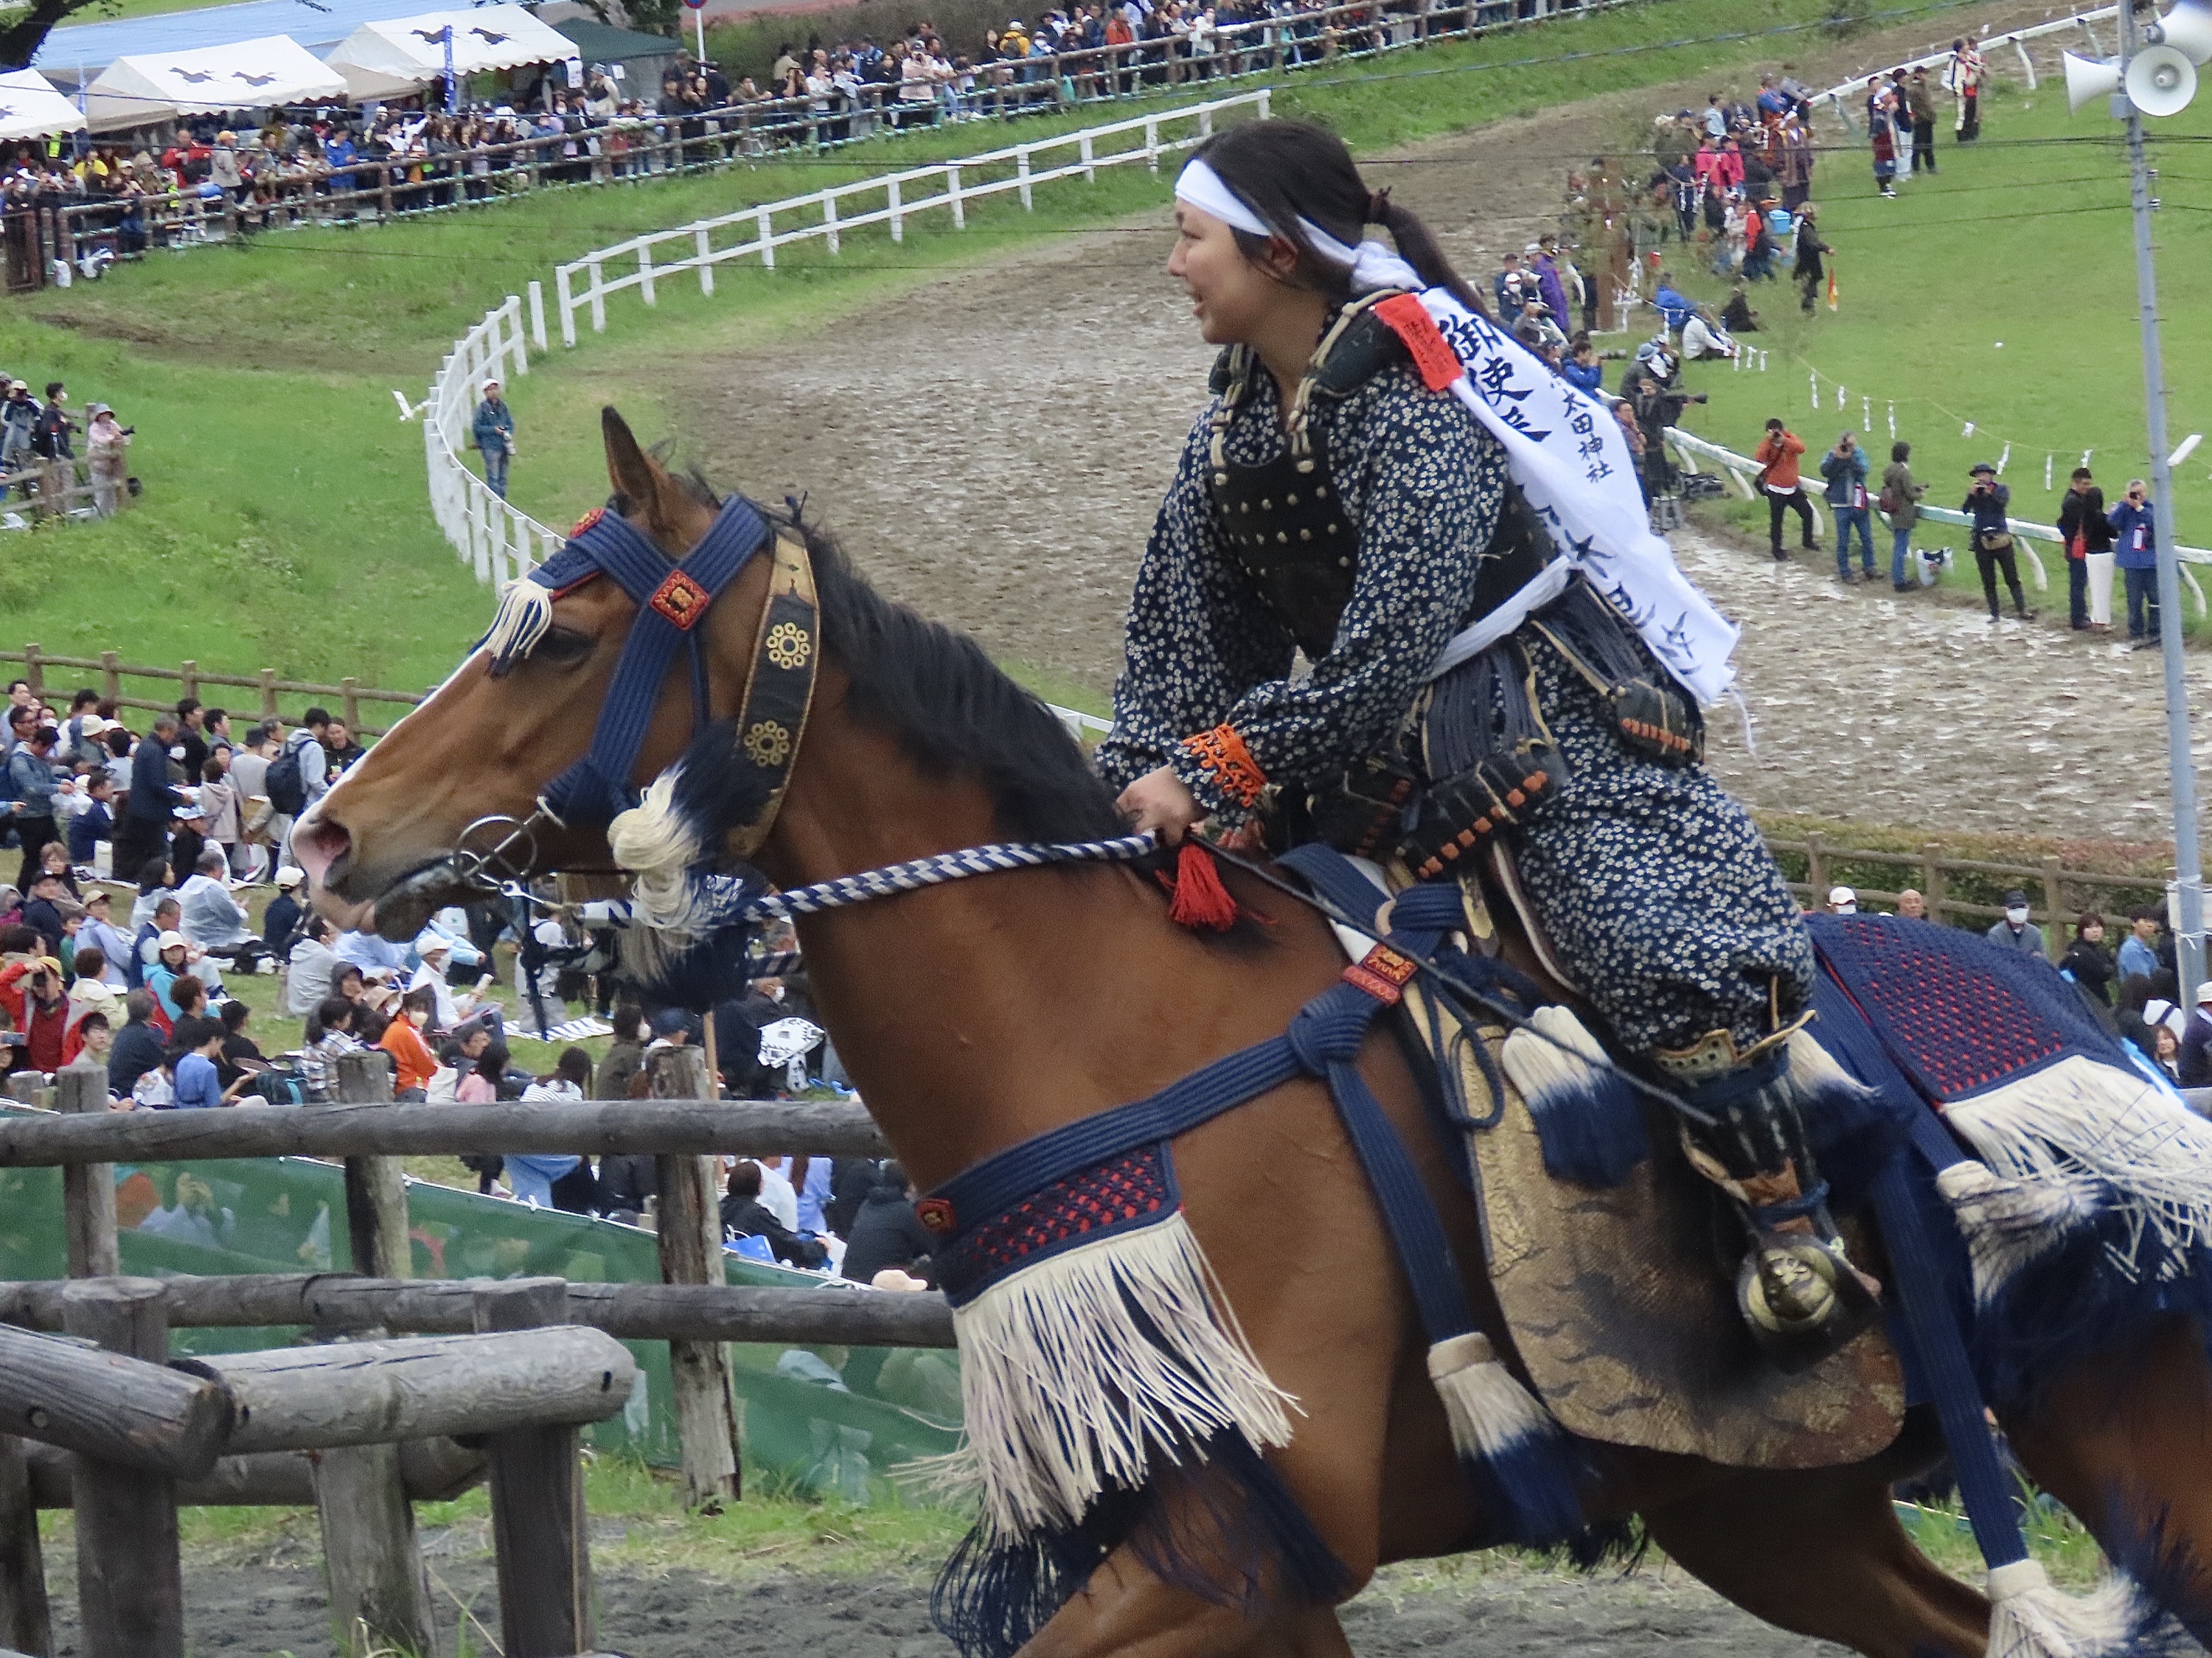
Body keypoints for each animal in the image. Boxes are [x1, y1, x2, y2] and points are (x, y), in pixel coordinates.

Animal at [296, 408, 2212, 1658]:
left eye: (566, 631)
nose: (327, 836)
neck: (1104, 1035)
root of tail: (2079, 1018)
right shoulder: (1237, 1547)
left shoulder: (1242, 1534)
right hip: (1771, 1503)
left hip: (2129, 1431)